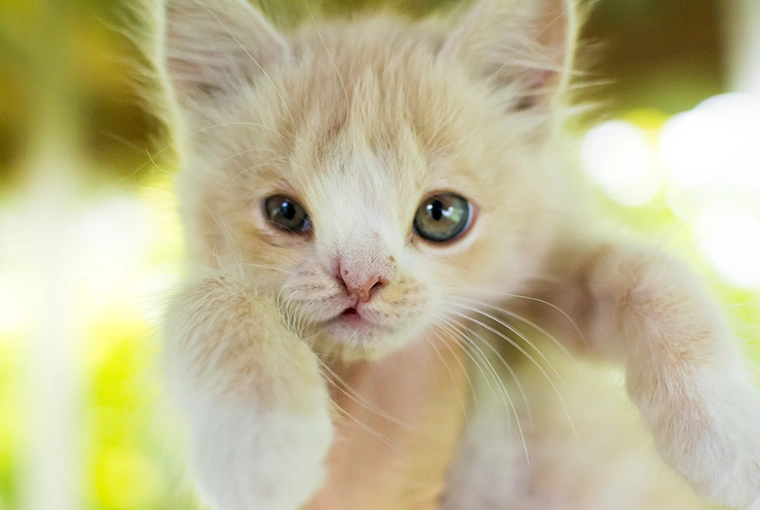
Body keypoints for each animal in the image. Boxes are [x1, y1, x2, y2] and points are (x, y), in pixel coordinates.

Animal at [147, 0, 760, 508]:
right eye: (284, 212)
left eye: (441, 215)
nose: (360, 279)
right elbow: (211, 300)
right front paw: (260, 444)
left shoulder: (543, 271)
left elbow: (646, 271)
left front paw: (725, 434)